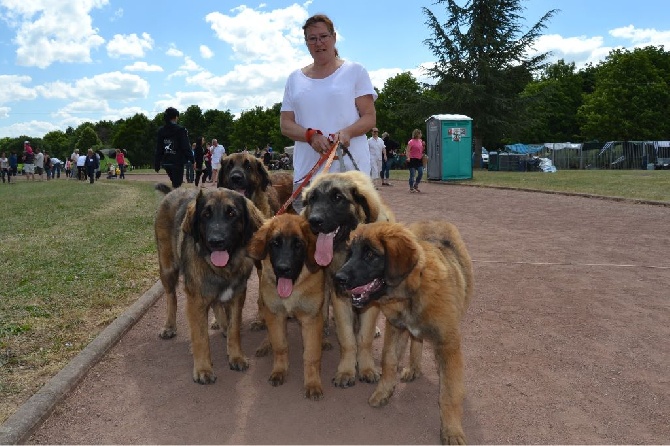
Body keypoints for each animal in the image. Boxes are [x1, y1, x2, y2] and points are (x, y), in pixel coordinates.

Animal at [154, 185, 266, 384]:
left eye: (231, 213)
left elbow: (234, 329)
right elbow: (201, 338)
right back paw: (169, 326)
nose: (216, 241)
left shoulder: (237, 295)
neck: (223, 269)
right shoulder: (196, 301)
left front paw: (236, 356)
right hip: (167, 269)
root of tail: (173, 190)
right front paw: (203, 369)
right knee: (171, 296)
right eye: (206, 214)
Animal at [249, 213, 328, 400]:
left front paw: (313, 383)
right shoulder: (276, 314)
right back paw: (266, 343)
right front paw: (279, 370)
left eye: (298, 245)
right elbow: (280, 345)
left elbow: (311, 355)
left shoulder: (311, 319)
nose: (283, 269)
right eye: (275, 243)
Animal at [334, 221, 472, 444]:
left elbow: (449, 393)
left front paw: (452, 431)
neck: (412, 294)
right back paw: (413, 367)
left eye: (370, 254)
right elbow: (389, 361)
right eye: (350, 254)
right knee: (416, 340)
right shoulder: (396, 328)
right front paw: (384, 392)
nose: (337, 278)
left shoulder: (448, 345)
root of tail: (435, 221)